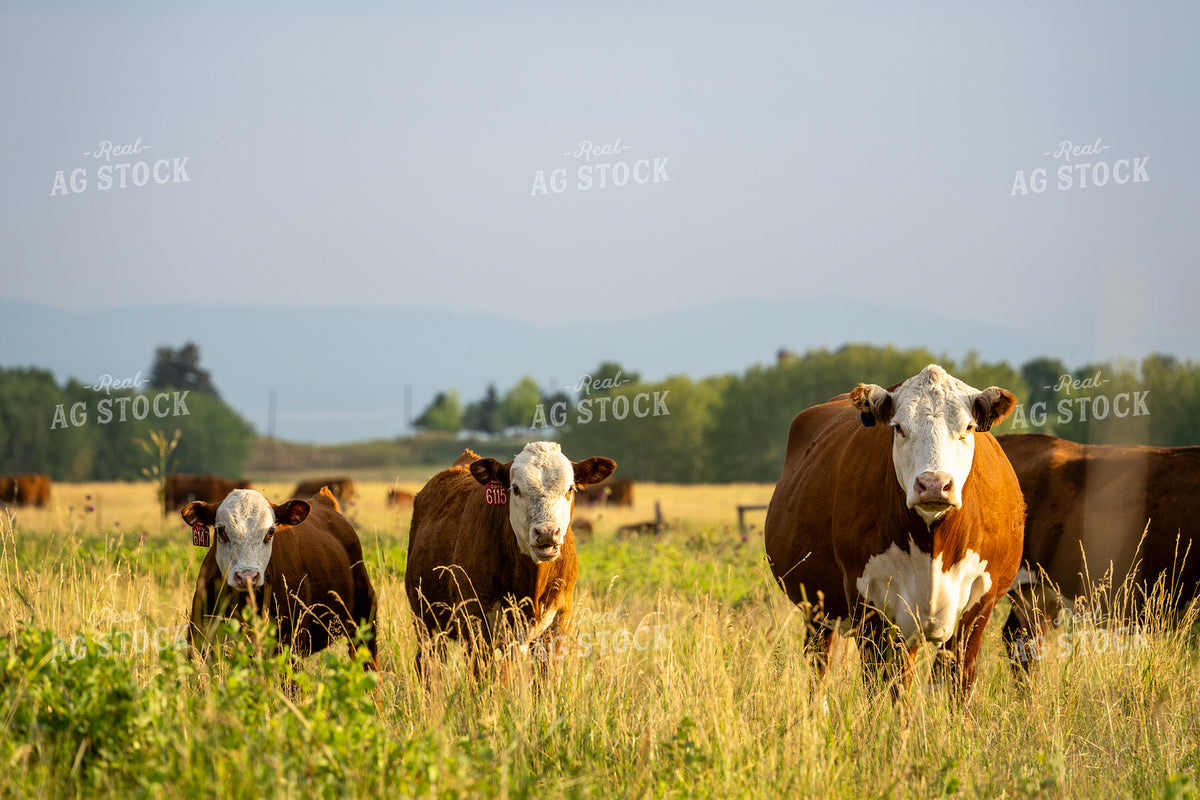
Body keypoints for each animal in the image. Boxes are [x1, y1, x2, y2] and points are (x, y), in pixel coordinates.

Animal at [405, 442, 616, 672]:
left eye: (570, 488)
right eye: (515, 488)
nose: (547, 532)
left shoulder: (559, 622)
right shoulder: (476, 623)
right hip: (426, 622)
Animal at [764, 364, 1024, 700]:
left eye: (968, 427)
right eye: (899, 427)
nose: (934, 484)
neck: (933, 542)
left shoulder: (979, 606)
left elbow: (959, 683)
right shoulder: (870, 603)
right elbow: (880, 687)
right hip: (818, 612)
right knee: (820, 668)